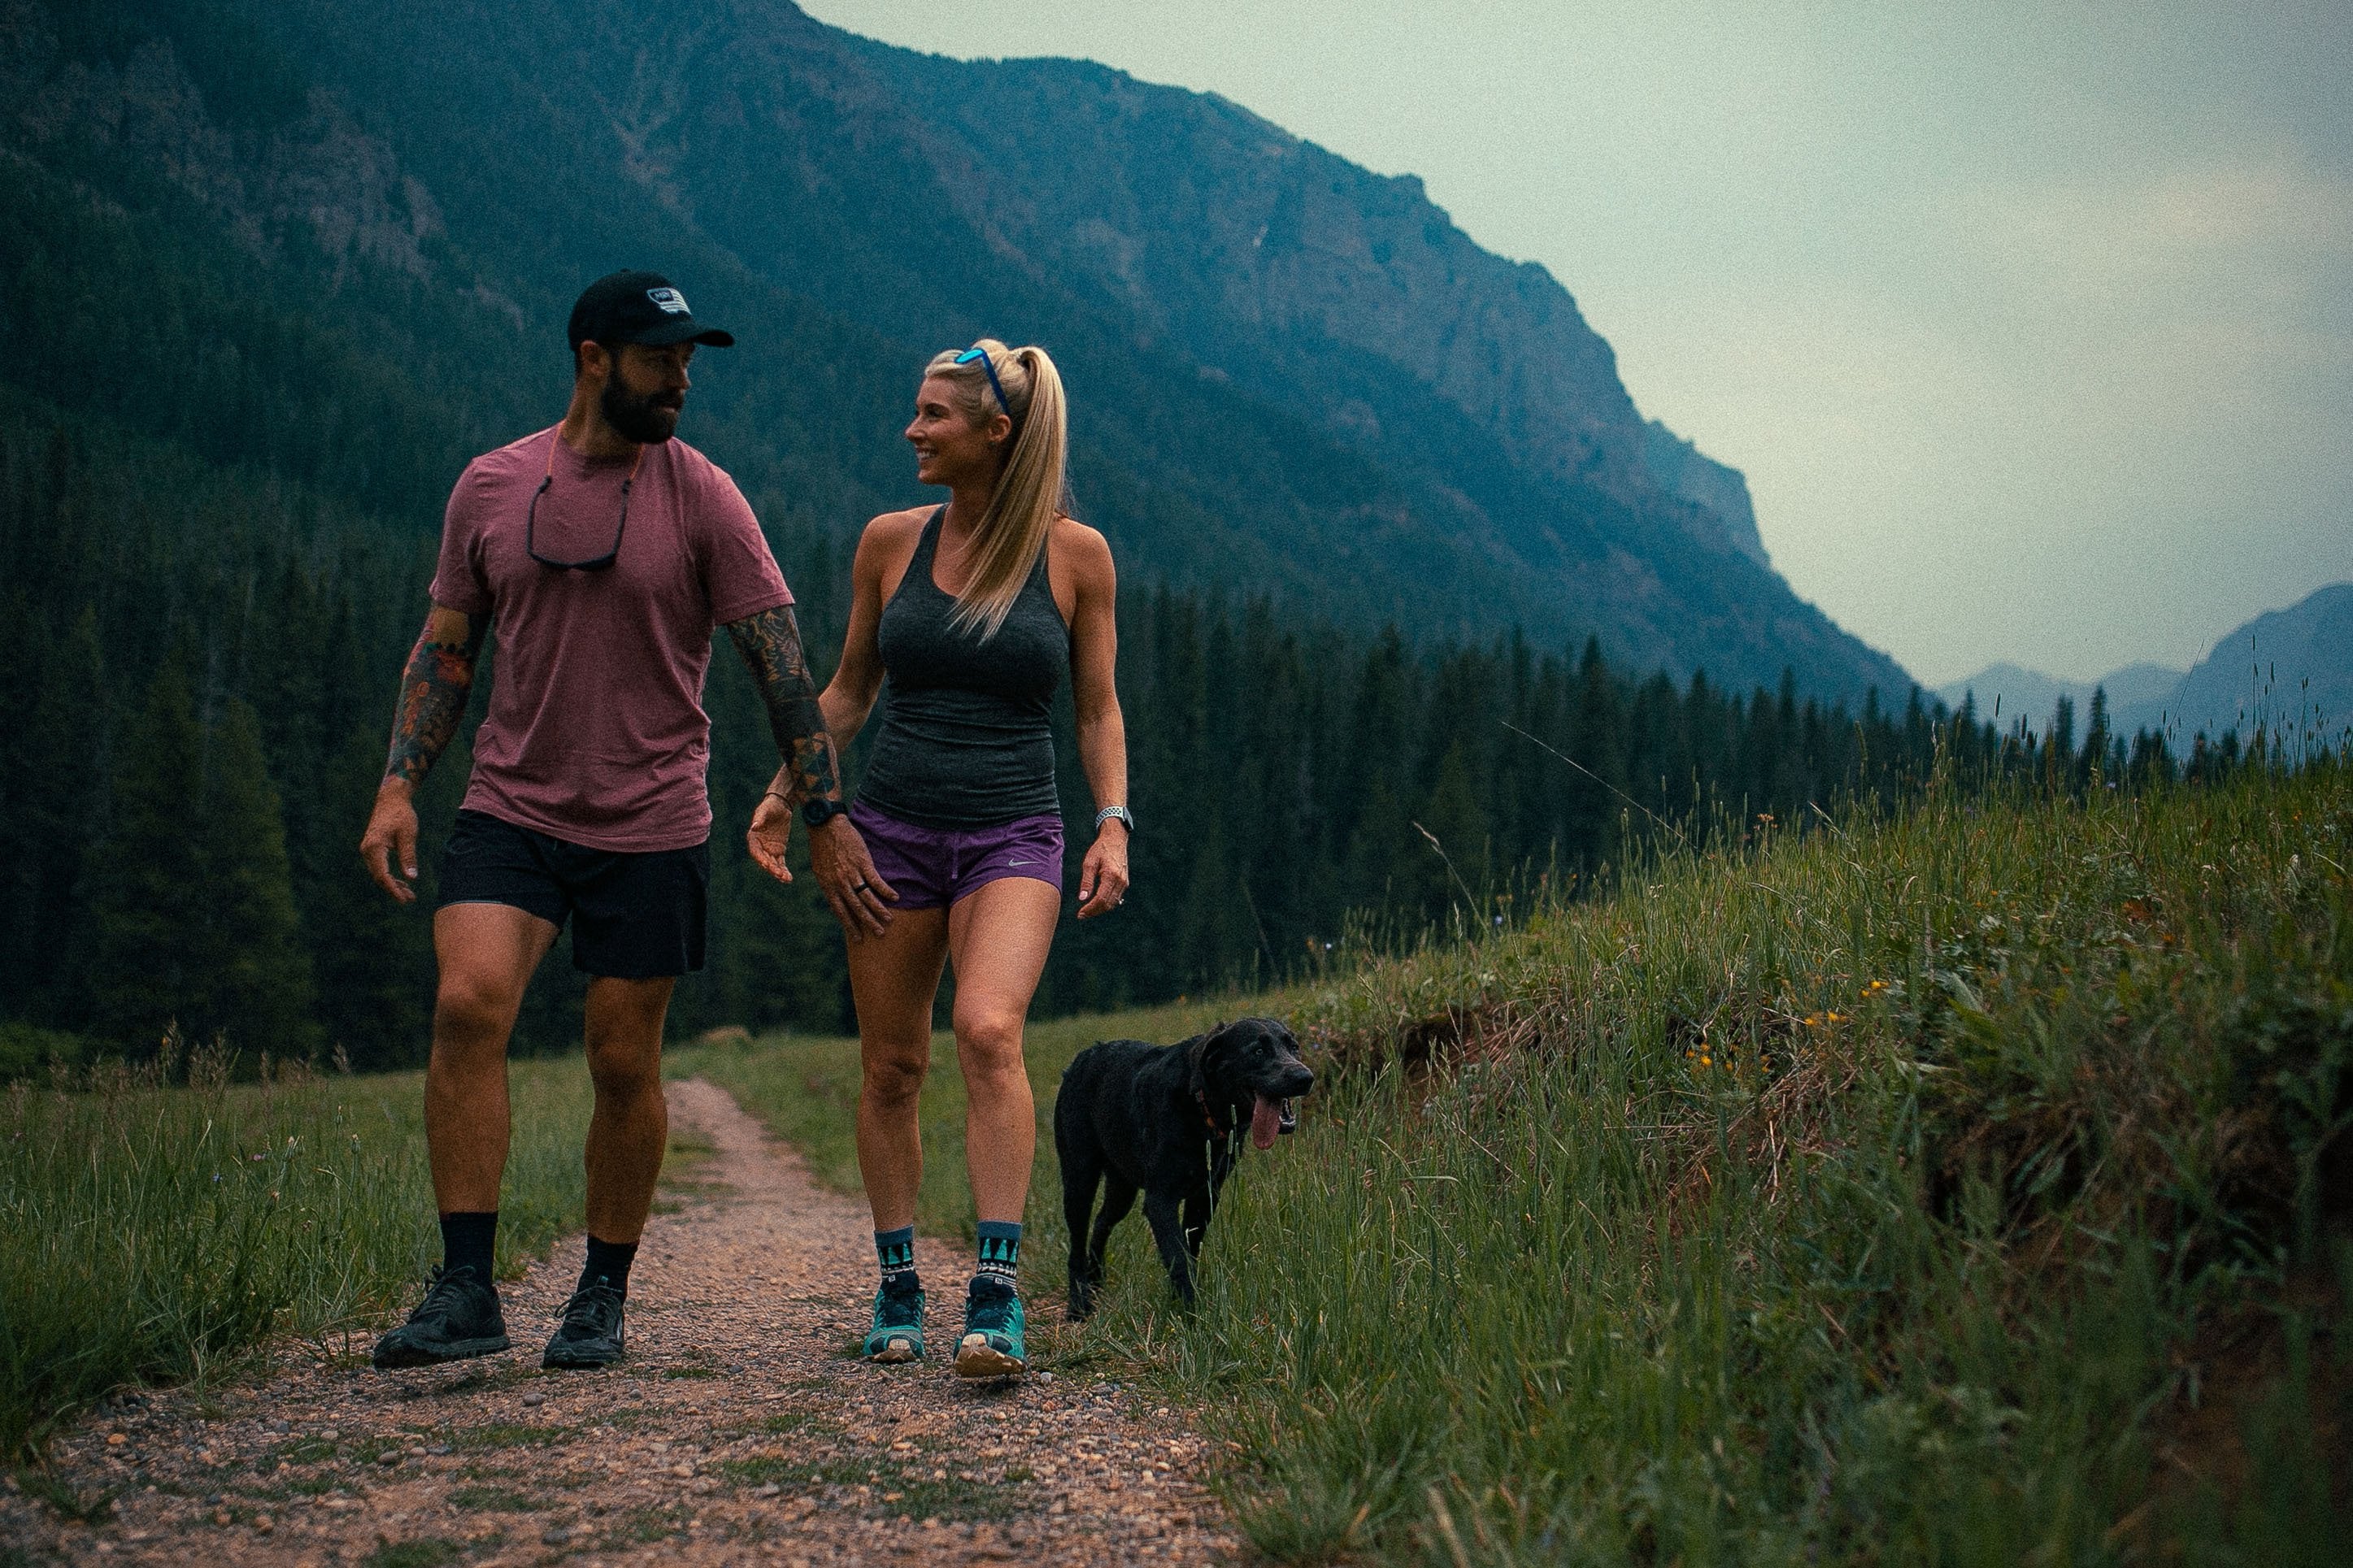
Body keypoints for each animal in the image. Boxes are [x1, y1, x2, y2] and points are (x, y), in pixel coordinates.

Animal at [1059, 1010, 1317, 1316]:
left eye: (1294, 1047)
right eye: (1257, 1051)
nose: (1304, 1077)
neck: (1202, 1108)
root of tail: (1083, 1057)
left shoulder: (1205, 1194)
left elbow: (1189, 1250)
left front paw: (1180, 1302)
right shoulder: (1161, 1200)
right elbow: (1178, 1257)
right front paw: (1193, 1313)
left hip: (1122, 1187)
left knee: (1101, 1222)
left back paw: (1096, 1279)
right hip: (1079, 1180)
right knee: (1077, 1244)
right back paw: (1078, 1304)